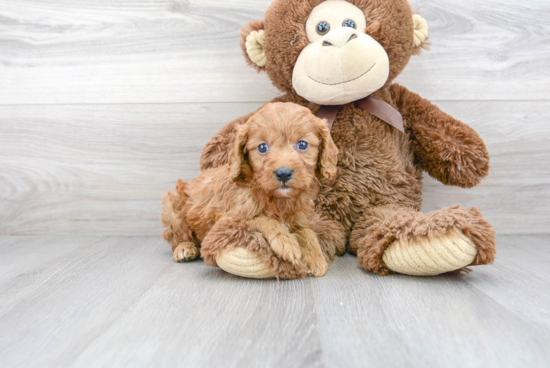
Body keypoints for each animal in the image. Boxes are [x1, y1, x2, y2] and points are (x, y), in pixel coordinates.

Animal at [162, 102, 338, 278]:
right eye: (262, 147)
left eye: (302, 144)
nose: (283, 173)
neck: (277, 199)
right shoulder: (231, 218)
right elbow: (262, 218)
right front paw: (285, 241)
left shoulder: (300, 217)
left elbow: (307, 233)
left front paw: (315, 257)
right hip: (174, 207)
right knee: (177, 236)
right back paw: (185, 248)